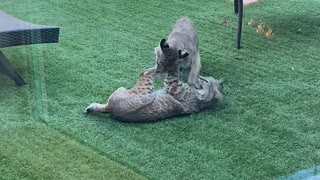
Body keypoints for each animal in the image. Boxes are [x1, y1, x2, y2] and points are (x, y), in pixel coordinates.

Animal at [84, 67, 221, 123]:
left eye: (206, 82)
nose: (201, 77)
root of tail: (112, 110)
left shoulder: (173, 85)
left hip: (143, 90)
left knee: (145, 72)